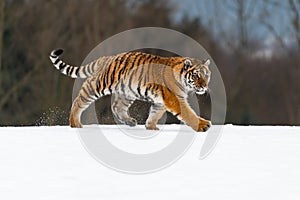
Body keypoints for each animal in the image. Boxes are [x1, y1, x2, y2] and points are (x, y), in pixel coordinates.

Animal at [49, 49, 212, 132]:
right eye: (197, 75)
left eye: (207, 75)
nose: (204, 86)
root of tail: (106, 58)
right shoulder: (175, 98)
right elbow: (188, 114)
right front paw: (203, 125)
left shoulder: (161, 101)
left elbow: (155, 114)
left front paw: (151, 127)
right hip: (98, 85)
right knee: (79, 100)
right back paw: (75, 123)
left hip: (127, 93)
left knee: (116, 107)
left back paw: (130, 122)